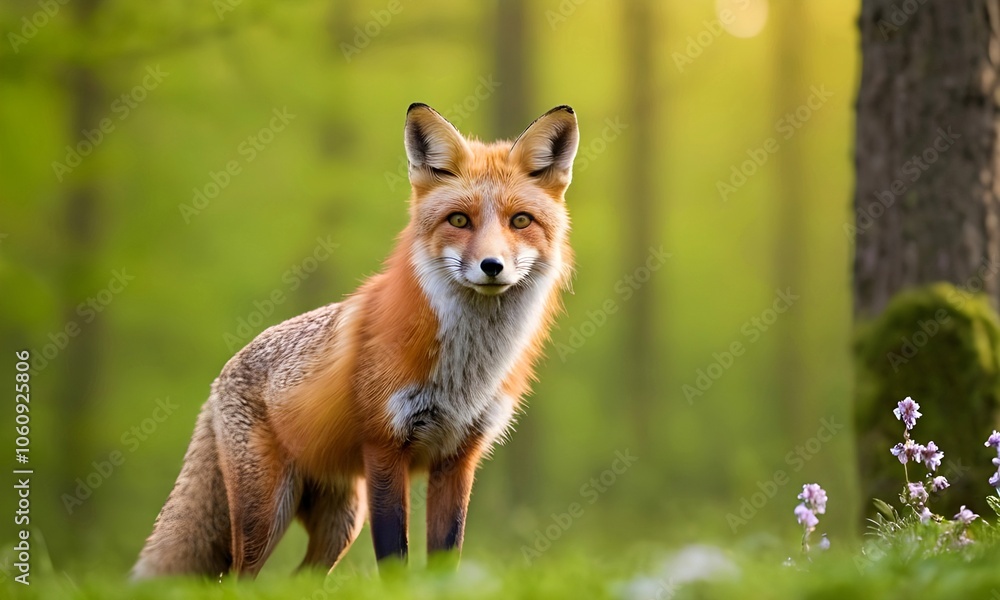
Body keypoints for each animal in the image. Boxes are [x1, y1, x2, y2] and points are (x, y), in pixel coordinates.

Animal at [132, 103, 579, 578]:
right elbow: (394, 558)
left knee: (297, 580)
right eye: (459, 220)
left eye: (520, 221)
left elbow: (445, 558)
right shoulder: (384, 448)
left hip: (339, 523)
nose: (491, 266)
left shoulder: (458, 457)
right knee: (238, 580)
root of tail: (221, 377)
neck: (467, 371)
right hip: (267, 515)